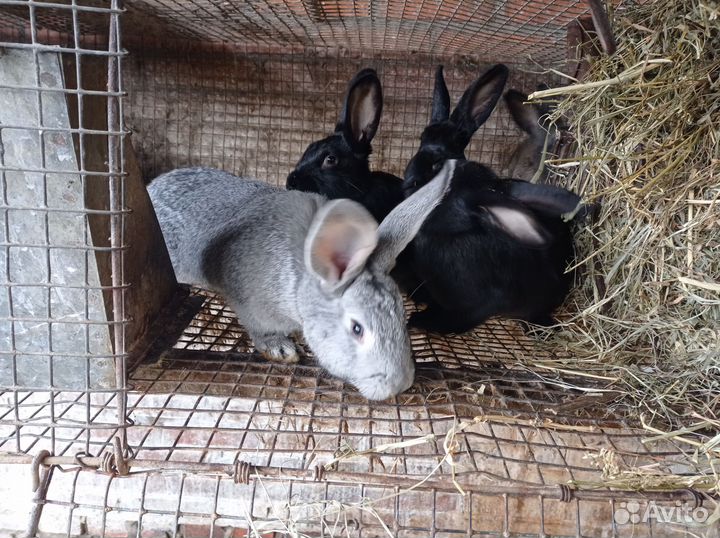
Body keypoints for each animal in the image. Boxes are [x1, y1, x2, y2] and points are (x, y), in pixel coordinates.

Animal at [147, 161, 456, 400]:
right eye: (357, 329)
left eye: (402, 316)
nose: (400, 385)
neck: (303, 283)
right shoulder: (251, 306)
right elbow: (260, 329)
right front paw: (281, 349)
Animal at [402, 64, 586, 334]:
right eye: (423, 137)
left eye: (457, 141)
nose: (410, 180)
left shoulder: (476, 308)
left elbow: (455, 321)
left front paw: (416, 322)